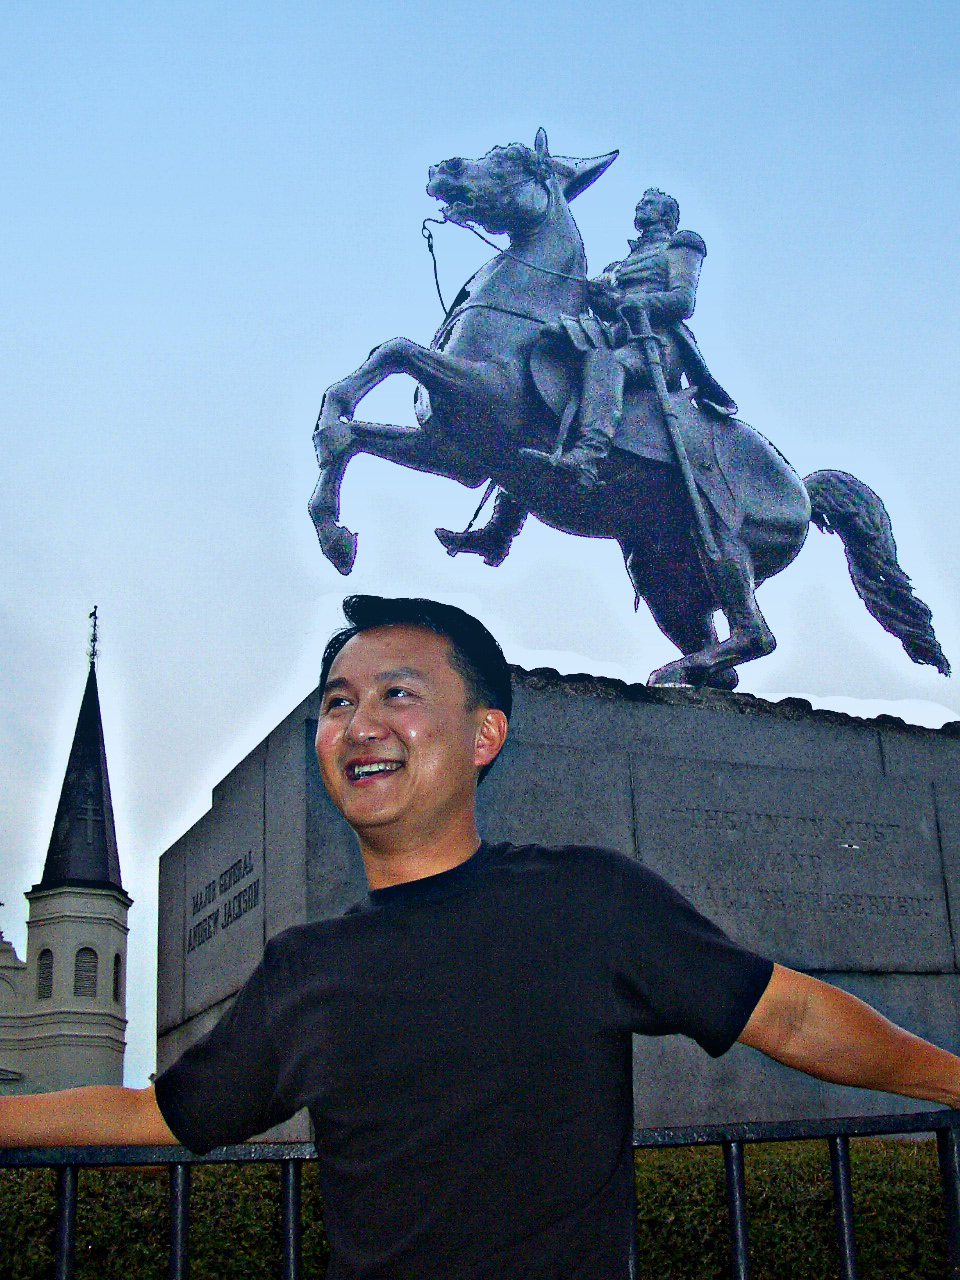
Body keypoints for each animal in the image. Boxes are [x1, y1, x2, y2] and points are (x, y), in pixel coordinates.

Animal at [312, 128, 952, 686]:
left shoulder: (479, 396)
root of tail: (799, 485)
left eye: (515, 158)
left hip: (722, 545)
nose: (442, 169)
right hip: (664, 572)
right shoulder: (453, 450)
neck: (522, 311)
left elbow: (396, 350)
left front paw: (328, 436)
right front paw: (335, 531)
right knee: (726, 663)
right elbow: (361, 427)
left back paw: (670, 671)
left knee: (756, 634)